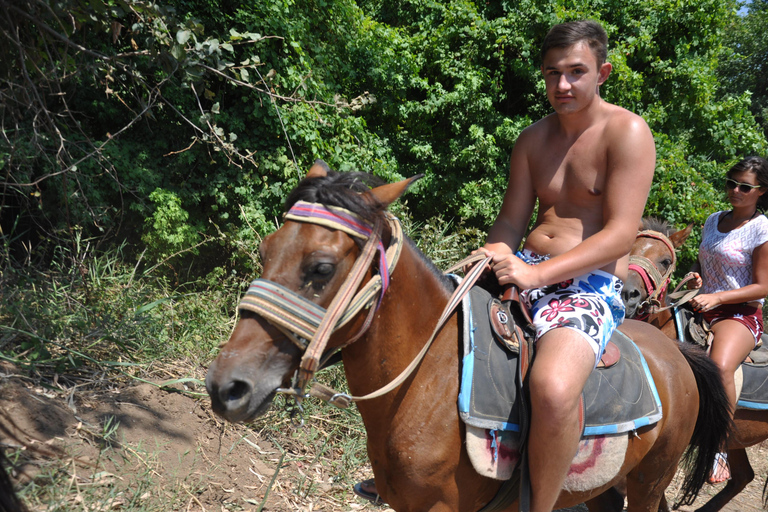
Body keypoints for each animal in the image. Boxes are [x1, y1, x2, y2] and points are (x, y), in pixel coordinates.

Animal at [206, 163, 730, 511]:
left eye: (320, 267)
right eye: (265, 251)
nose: (226, 385)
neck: (427, 380)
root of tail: (675, 353)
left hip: (648, 481)